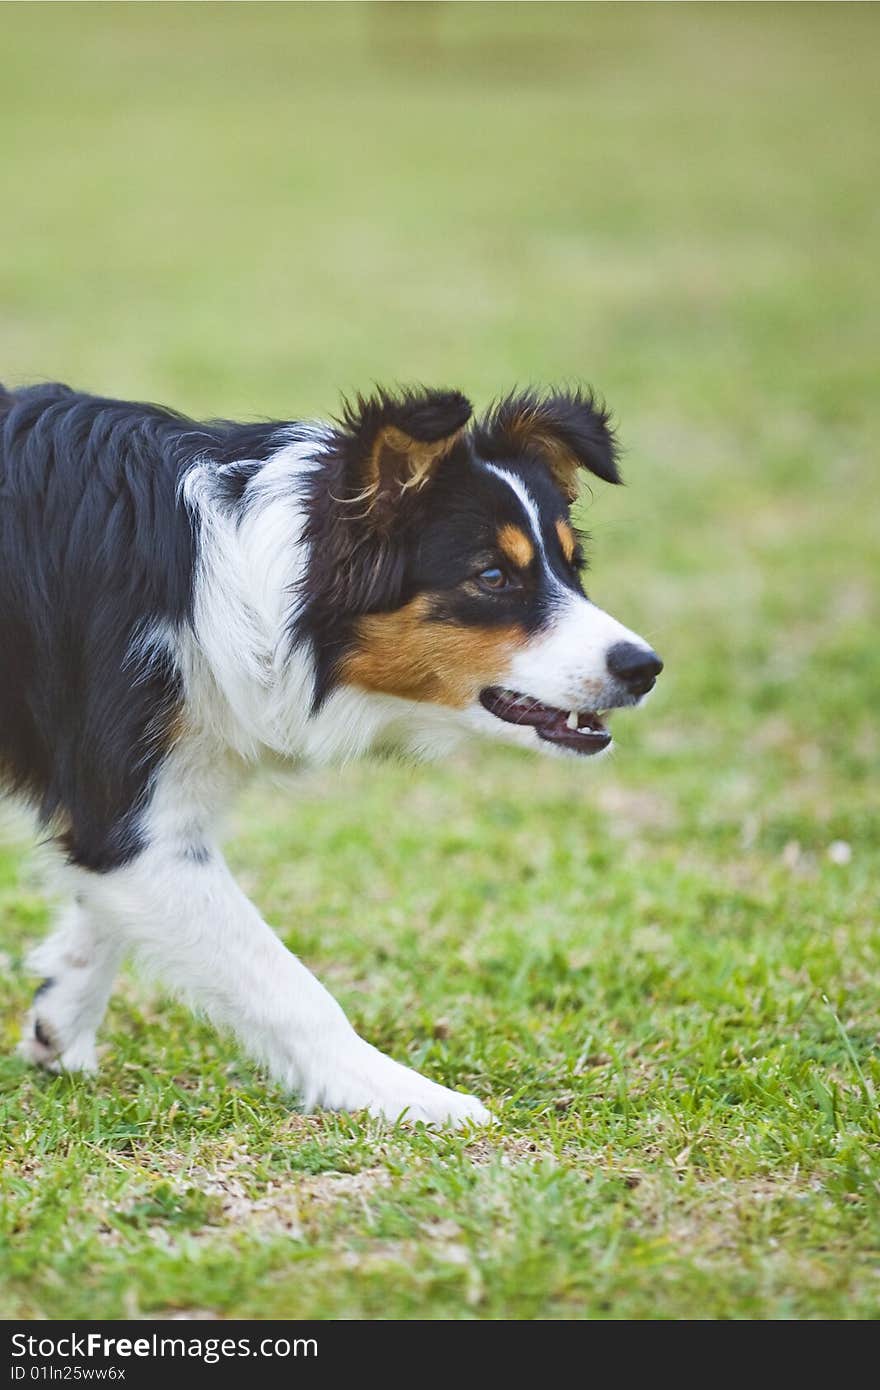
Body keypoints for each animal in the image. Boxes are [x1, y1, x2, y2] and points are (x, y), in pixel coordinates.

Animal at [0, 383, 661, 1128]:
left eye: (573, 568)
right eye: (492, 576)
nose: (645, 668)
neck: (240, 573)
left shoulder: (155, 805)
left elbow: (100, 896)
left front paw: (60, 1024)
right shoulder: (131, 802)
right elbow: (288, 986)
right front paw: (405, 1094)